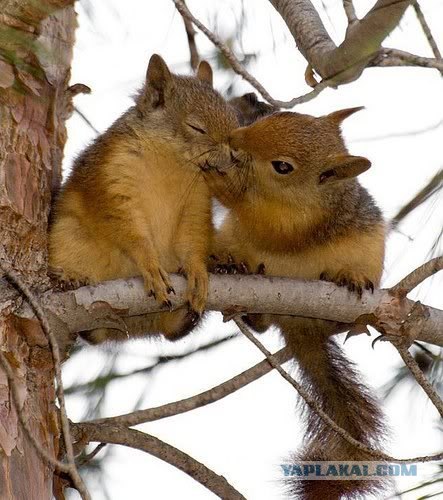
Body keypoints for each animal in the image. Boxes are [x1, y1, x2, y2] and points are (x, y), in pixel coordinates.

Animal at [48, 54, 239, 344]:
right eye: (196, 127)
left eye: (233, 117)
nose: (234, 155)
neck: (172, 162)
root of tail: (136, 327)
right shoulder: (112, 179)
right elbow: (128, 229)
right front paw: (150, 264)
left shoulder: (197, 200)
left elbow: (193, 235)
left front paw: (197, 269)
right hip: (68, 236)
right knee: (93, 334)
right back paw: (71, 280)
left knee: (172, 332)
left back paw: (196, 303)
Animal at [204, 108, 388, 500]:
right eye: (276, 116)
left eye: (283, 166)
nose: (236, 138)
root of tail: (300, 327)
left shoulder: (299, 221)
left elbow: (271, 225)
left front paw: (220, 182)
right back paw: (238, 281)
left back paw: (347, 279)